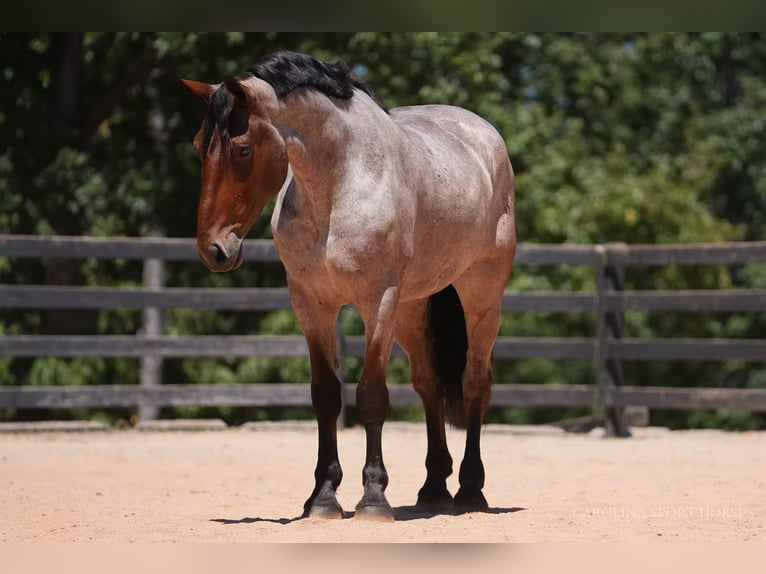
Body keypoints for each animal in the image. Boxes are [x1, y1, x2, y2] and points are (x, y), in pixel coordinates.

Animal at [182, 51, 516, 521]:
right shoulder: (311, 305)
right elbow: (326, 396)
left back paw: (470, 489)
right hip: (411, 310)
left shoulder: (377, 302)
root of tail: (484, 135)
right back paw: (433, 487)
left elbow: (371, 395)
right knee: (429, 384)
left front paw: (373, 499)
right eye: (198, 146)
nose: (213, 249)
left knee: (474, 383)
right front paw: (322, 498)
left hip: (481, 298)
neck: (338, 187)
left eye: (243, 149)